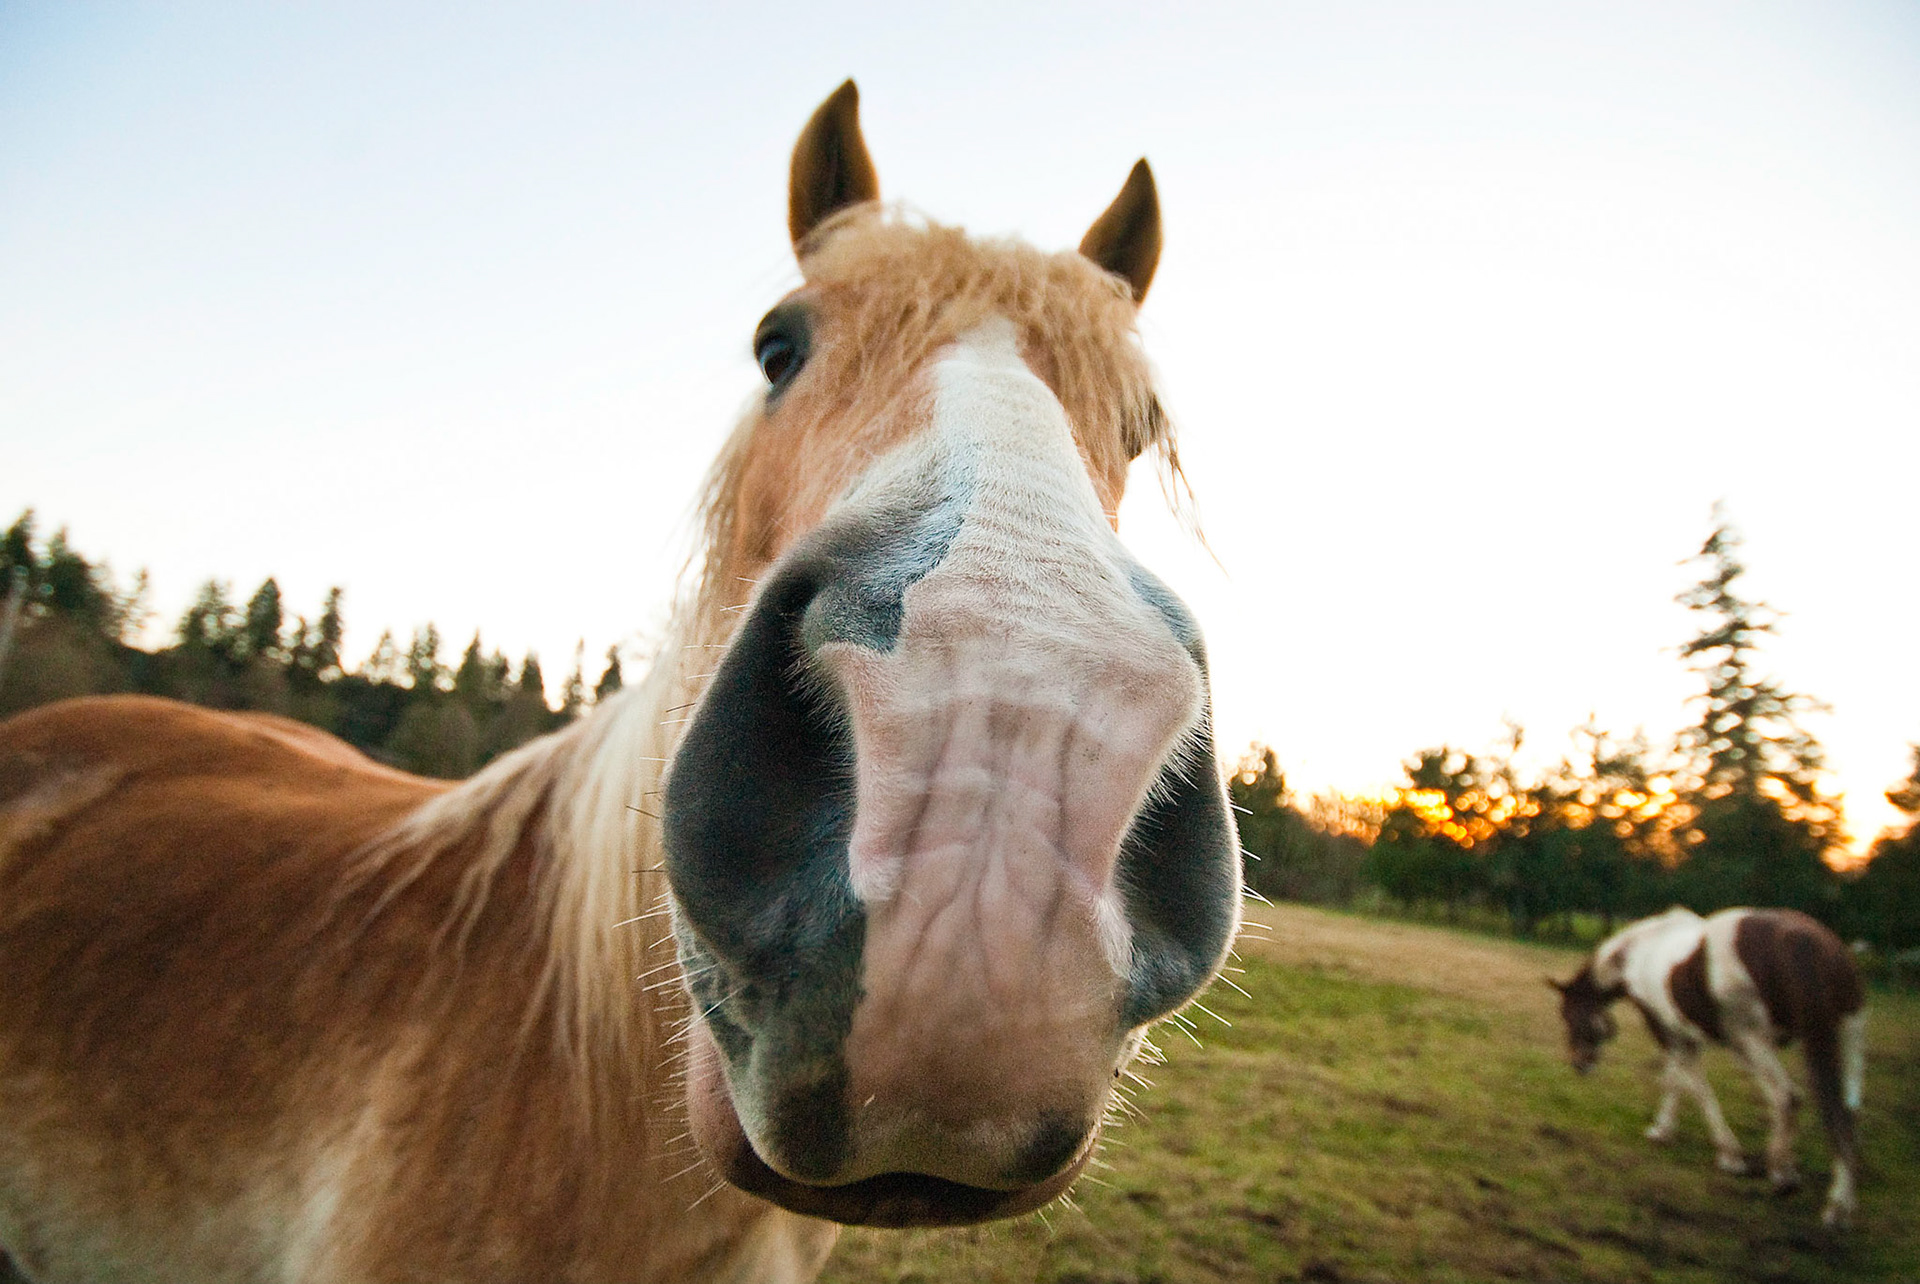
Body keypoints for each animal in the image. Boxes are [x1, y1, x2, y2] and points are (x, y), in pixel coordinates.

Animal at [1550, 905, 1867, 1229]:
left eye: (1569, 1014)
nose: (1579, 1064)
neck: (1636, 954)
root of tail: (1814, 942)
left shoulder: (1670, 1034)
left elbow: (1690, 1088)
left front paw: (1728, 1156)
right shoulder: (1686, 1037)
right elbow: (1679, 1083)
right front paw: (1664, 1131)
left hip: (1754, 1040)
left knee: (1788, 1098)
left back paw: (1786, 1177)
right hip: (1847, 1035)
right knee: (1846, 1114)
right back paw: (1841, 1204)